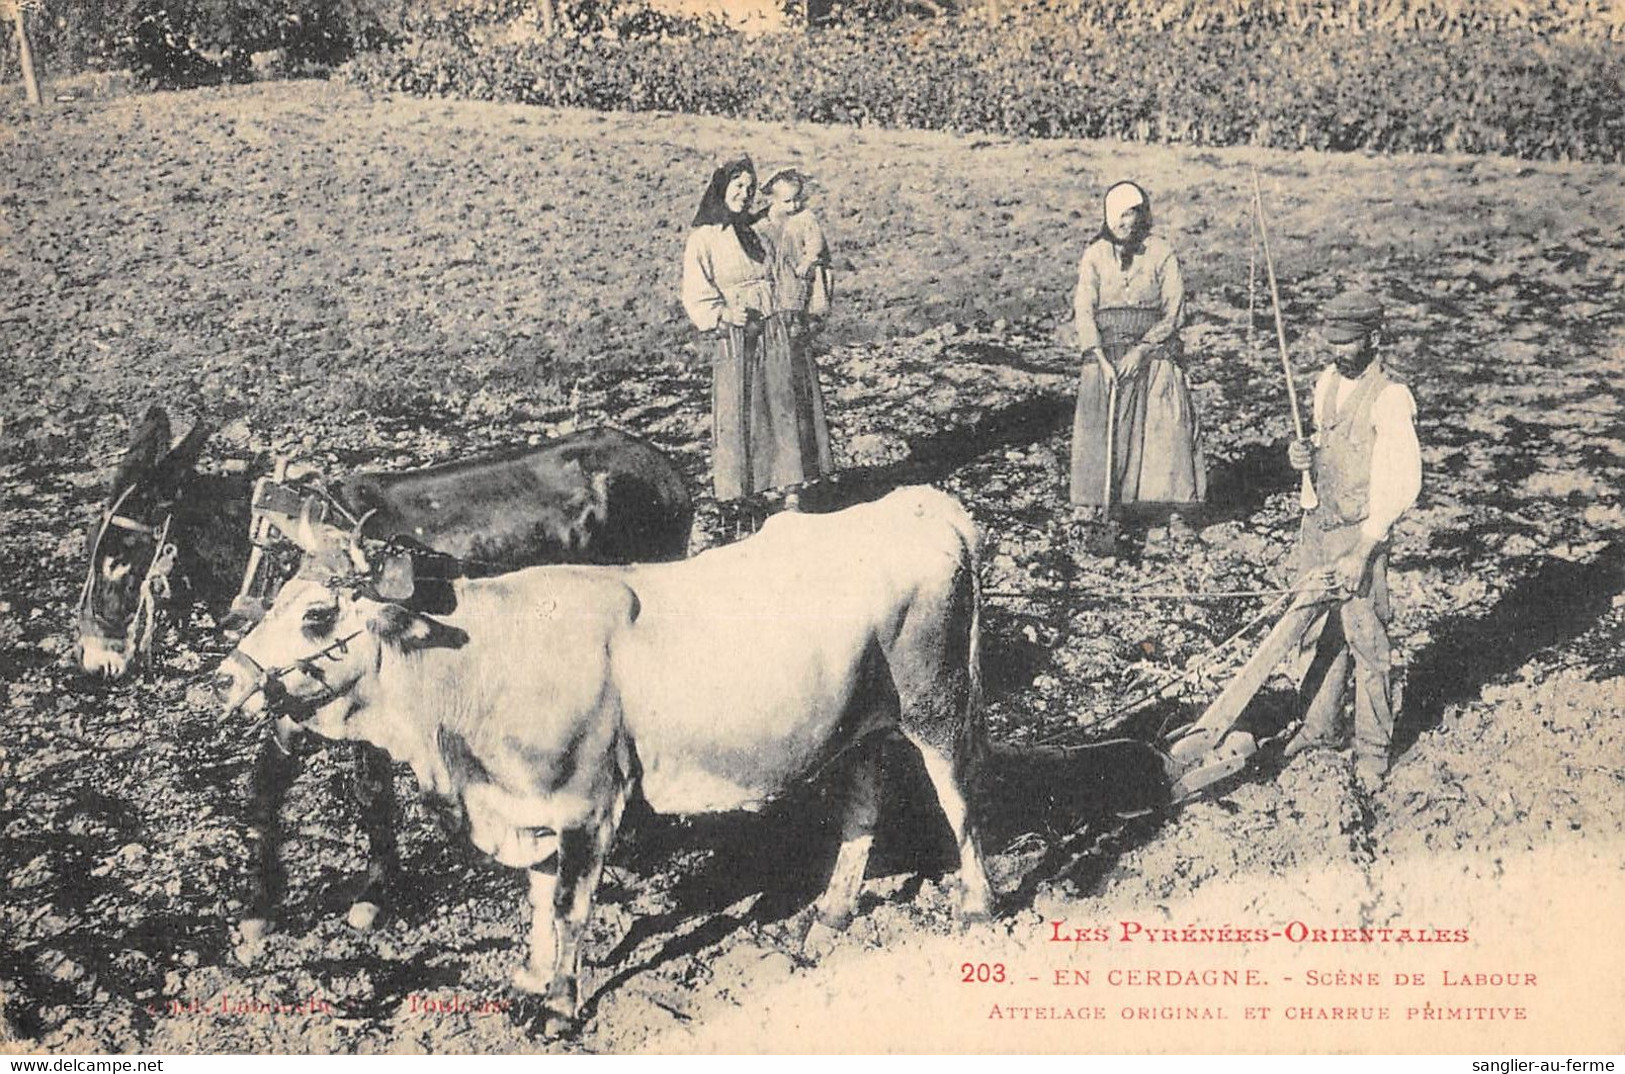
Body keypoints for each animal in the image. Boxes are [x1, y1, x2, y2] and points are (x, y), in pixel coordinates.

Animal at [219, 487, 988, 1020]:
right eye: (274, 600)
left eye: (316, 615)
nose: (225, 678)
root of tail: (919, 502)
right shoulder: (524, 802)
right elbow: (536, 894)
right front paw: (531, 975)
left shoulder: (587, 801)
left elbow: (569, 904)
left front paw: (561, 1003)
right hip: (864, 724)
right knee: (863, 803)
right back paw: (829, 916)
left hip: (935, 702)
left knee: (959, 800)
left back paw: (976, 907)